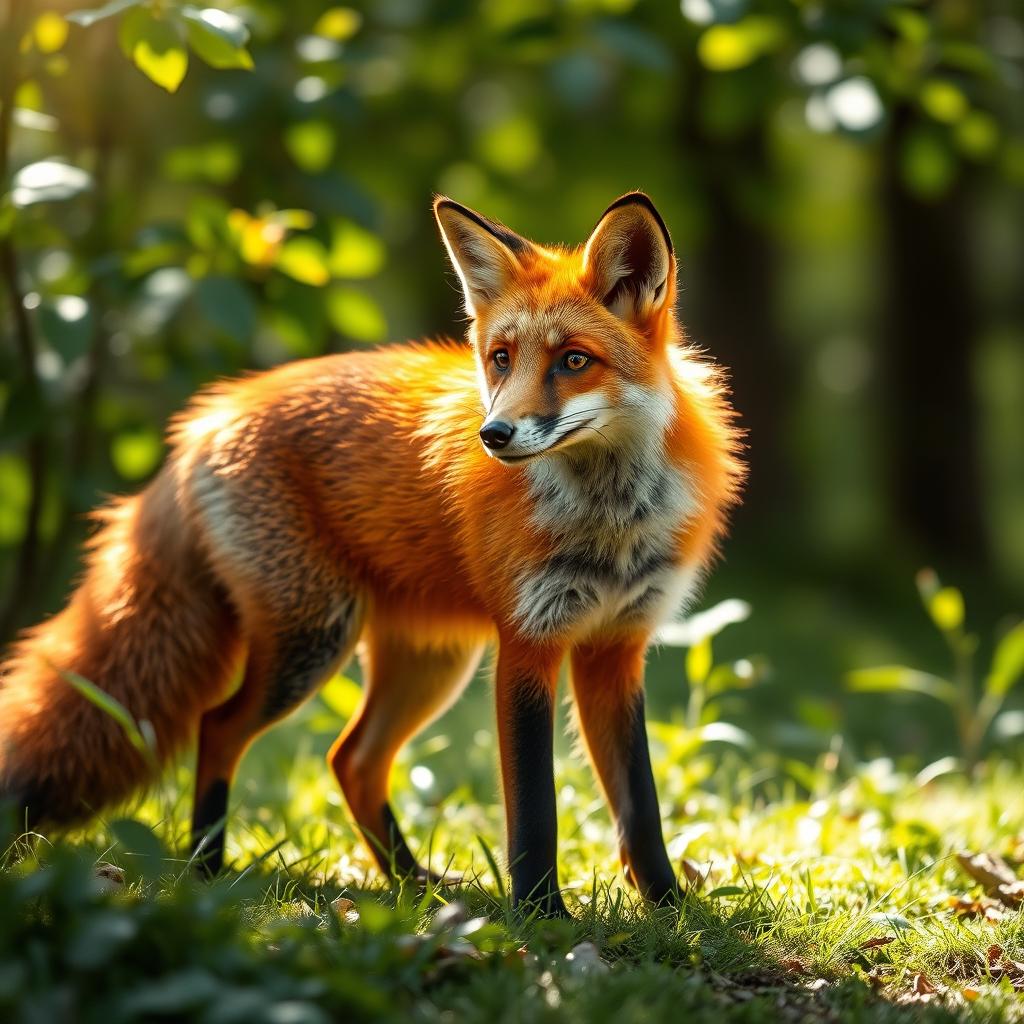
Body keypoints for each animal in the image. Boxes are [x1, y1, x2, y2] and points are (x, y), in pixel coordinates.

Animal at [0, 190, 745, 913]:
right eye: (501, 358)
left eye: (574, 361)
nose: (494, 435)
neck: (610, 521)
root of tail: (208, 417)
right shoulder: (528, 641)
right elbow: (536, 811)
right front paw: (541, 917)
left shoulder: (617, 645)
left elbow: (639, 803)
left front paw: (671, 909)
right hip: (313, 643)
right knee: (221, 726)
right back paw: (206, 872)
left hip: (427, 661)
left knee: (351, 759)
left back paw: (412, 883)